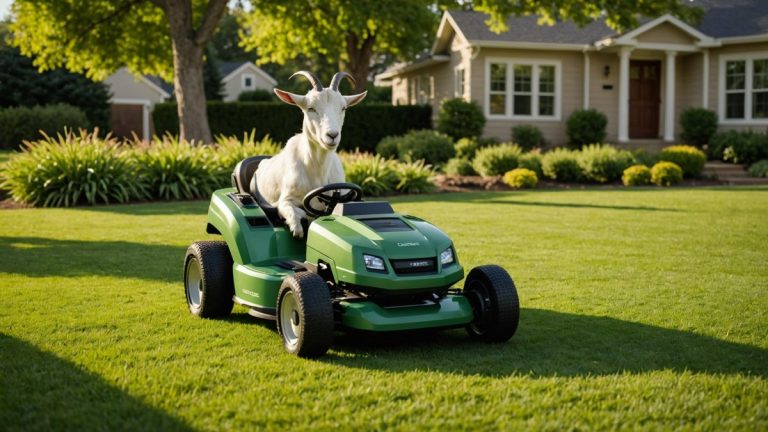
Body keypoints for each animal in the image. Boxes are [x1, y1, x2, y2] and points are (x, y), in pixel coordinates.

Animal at [255, 71, 367, 238]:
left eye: (343, 108)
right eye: (311, 108)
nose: (332, 135)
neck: (316, 171)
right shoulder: (284, 200)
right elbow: (292, 213)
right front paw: (297, 227)